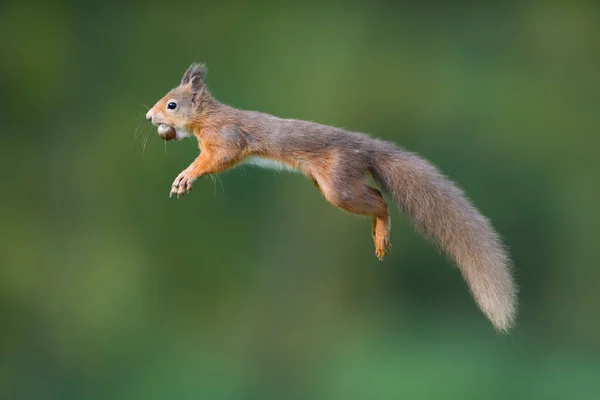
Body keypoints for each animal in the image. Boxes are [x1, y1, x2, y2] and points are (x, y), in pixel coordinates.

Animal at [145, 62, 516, 332]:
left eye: (172, 104)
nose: (149, 117)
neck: (209, 117)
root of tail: (366, 149)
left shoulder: (226, 139)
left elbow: (215, 159)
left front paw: (187, 175)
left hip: (338, 186)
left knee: (380, 201)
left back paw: (381, 233)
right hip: (330, 184)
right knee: (376, 192)